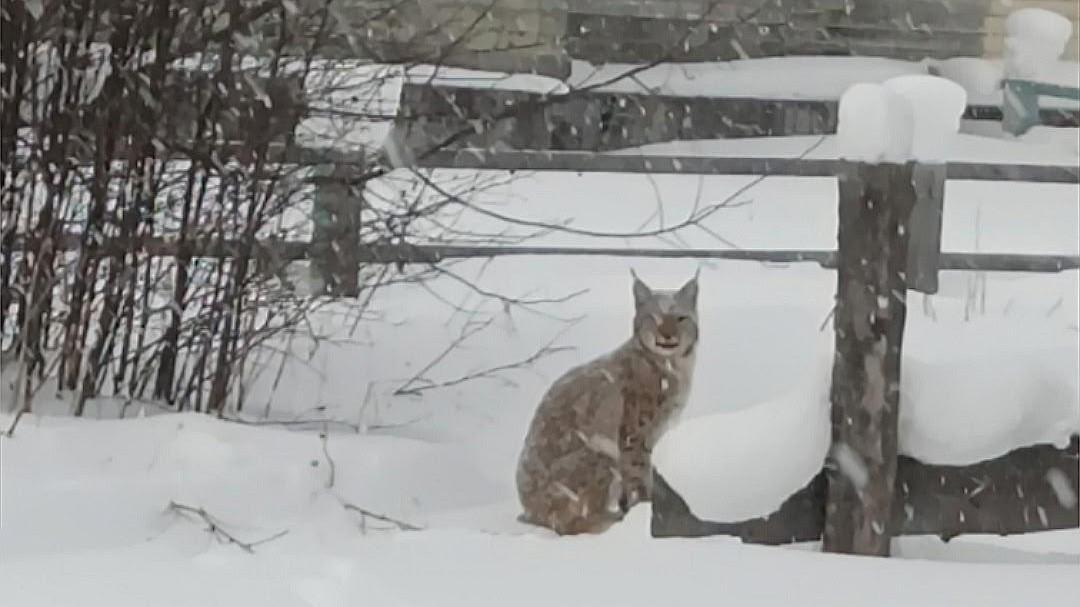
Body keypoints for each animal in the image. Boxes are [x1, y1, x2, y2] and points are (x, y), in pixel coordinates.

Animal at [516, 270, 700, 535]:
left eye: (680, 318)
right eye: (653, 318)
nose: (666, 335)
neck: (671, 364)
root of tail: (530, 510)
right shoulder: (634, 436)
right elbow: (638, 474)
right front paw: (645, 512)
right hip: (598, 452)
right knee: (569, 525)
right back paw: (607, 521)